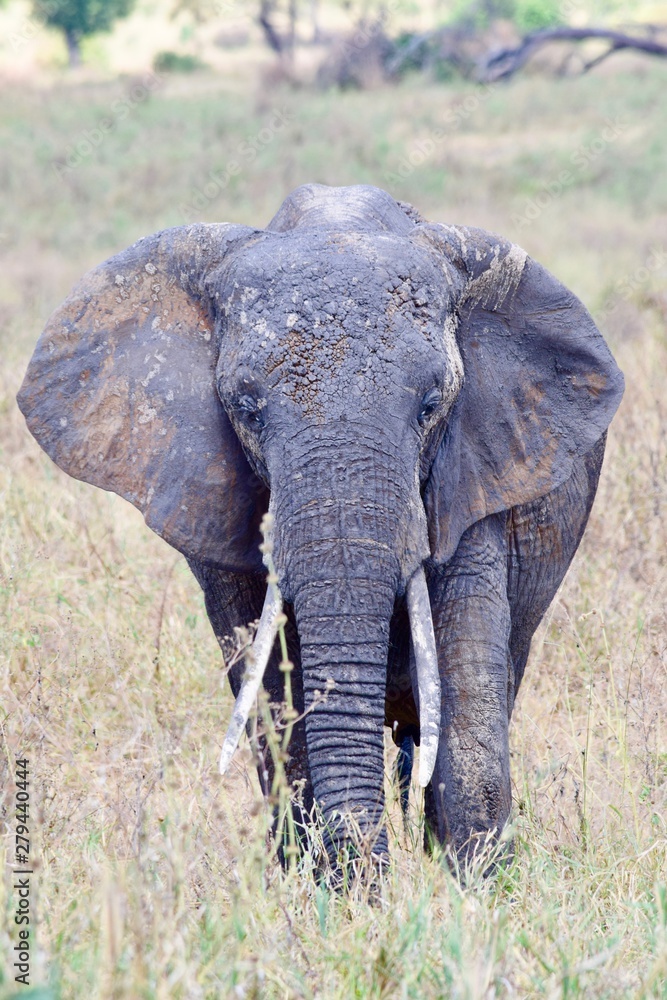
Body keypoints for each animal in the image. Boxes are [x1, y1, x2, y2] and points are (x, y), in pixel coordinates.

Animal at [18, 183, 624, 871]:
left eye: (431, 406)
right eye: (247, 409)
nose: (368, 882)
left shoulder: (476, 466)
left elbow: (465, 686)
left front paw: (477, 886)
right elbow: (271, 686)